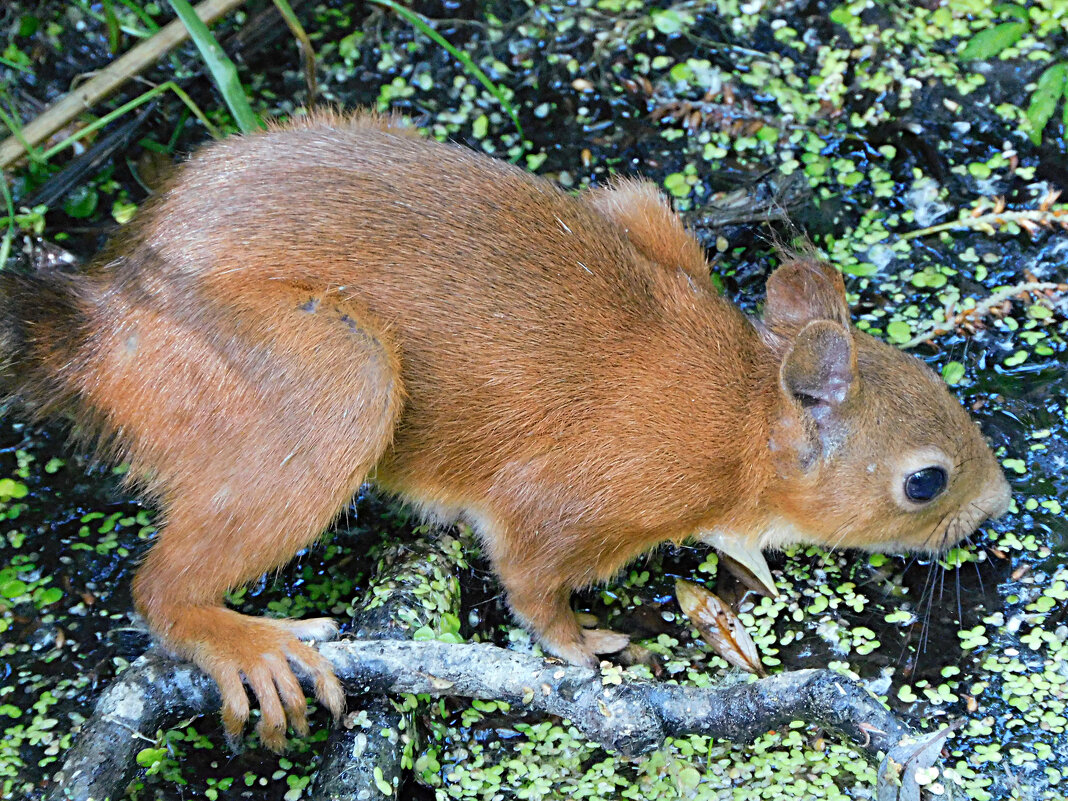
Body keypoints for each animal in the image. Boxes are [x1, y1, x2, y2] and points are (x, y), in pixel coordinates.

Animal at [2, 111, 1008, 751]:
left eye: (939, 383)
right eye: (924, 480)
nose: (999, 504)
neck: (743, 407)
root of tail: (100, 330)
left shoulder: (644, 213)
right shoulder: (596, 493)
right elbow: (532, 583)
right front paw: (587, 644)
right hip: (337, 388)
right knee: (157, 589)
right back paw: (246, 643)